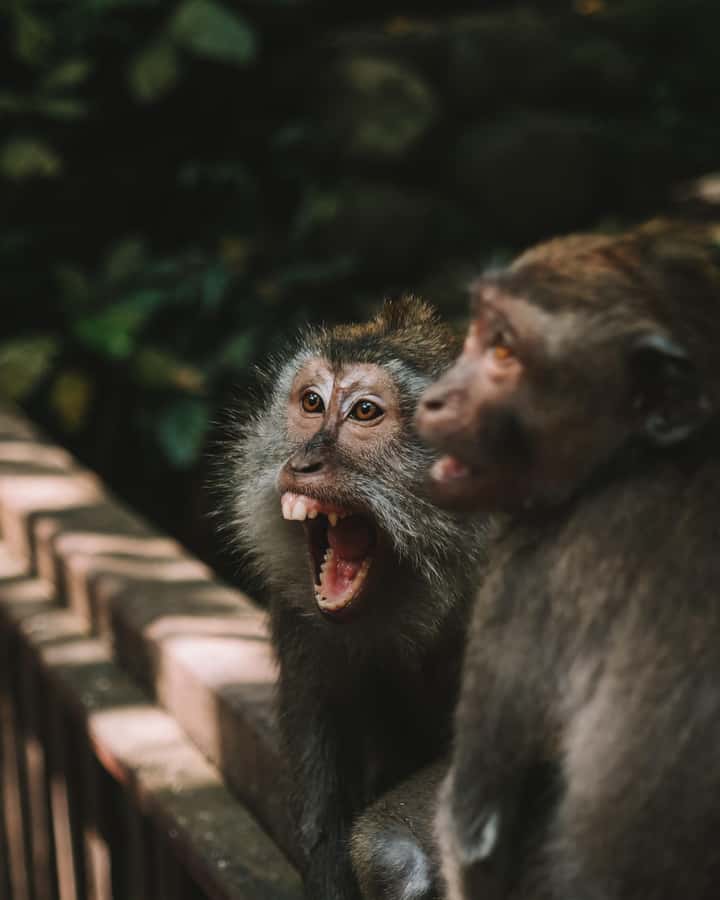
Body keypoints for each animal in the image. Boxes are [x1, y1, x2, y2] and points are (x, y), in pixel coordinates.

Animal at [415, 220, 720, 900]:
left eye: (505, 352)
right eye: (479, 330)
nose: (434, 398)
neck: (630, 459)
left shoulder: (525, 574)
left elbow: (474, 833)